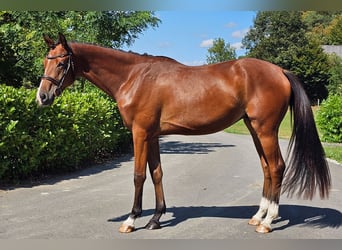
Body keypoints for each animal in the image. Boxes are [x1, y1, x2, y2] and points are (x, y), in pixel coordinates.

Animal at [36, 32, 330, 232]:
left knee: (277, 167)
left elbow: (139, 176)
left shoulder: (140, 133)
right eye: (44, 62)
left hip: (266, 129)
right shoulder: (152, 135)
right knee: (267, 168)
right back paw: (258, 216)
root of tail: (279, 70)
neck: (133, 77)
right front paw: (156, 219)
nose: (42, 97)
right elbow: (156, 173)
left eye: (61, 64)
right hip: (254, 128)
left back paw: (268, 222)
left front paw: (131, 220)